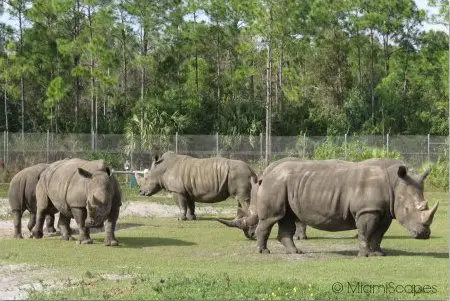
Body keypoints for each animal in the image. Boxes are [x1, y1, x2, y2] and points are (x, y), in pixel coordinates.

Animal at [220, 159, 438, 255]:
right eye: (408, 210)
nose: (424, 235)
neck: (393, 183)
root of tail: (266, 173)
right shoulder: (368, 210)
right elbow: (366, 232)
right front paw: (365, 255)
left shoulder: (383, 211)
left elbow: (378, 234)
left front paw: (378, 254)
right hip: (276, 183)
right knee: (272, 218)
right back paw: (264, 252)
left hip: (283, 184)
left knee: (286, 217)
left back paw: (295, 252)